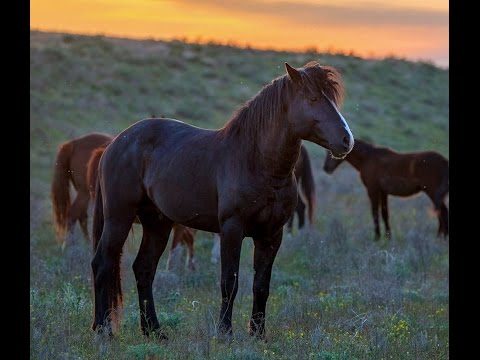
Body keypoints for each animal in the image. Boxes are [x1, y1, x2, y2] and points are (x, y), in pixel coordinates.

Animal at [91, 60, 352, 338]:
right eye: (312, 98)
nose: (347, 140)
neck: (256, 162)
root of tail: (115, 143)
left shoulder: (272, 234)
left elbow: (261, 285)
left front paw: (257, 334)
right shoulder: (231, 229)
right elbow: (229, 282)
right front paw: (224, 331)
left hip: (157, 223)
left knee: (143, 269)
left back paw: (154, 331)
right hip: (119, 217)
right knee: (103, 263)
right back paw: (103, 329)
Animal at [322, 139, 450, 240]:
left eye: (330, 151)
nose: (326, 168)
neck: (368, 158)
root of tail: (444, 161)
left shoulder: (372, 190)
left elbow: (375, 213)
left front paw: (377, 237)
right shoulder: (383, 192)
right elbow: (385, 214)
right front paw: (388, 237)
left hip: (432, 192)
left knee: (443, 212)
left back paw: (441, 238)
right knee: (442, 212)